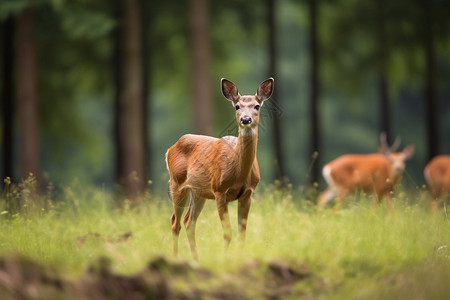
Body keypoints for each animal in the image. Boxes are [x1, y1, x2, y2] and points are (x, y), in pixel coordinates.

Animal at [164, 77, 272, 260]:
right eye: (237, 106)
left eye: (257, 106)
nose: (245, 119)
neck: (239, 173)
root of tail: (170, 149)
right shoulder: (219, 190)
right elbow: (227, 233)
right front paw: (225, 259)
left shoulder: (248, 193)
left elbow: (242, 233)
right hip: (176, 183)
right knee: (175, 222)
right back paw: (176, 257)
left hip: (198, 192)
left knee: (188, 222)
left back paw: (196, 259)